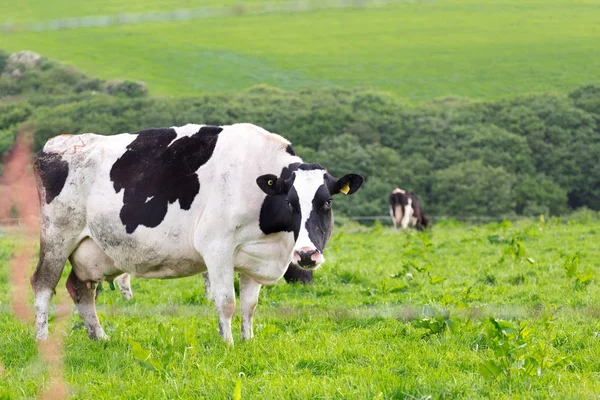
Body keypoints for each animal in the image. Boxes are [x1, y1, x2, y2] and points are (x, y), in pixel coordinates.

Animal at [32, 123, 364, 342]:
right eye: (290, 202)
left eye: (327, 202)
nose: (307, 255)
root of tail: (59, 143)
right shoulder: (217, 248)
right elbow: (226, 301)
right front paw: (228, 344)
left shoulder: (255, 257)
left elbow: (249, 305)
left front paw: (247, 341)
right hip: (58, 236)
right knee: (43, 285)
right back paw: (42, 339)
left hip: (93, 251)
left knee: (81, 288)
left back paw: (100, 337)